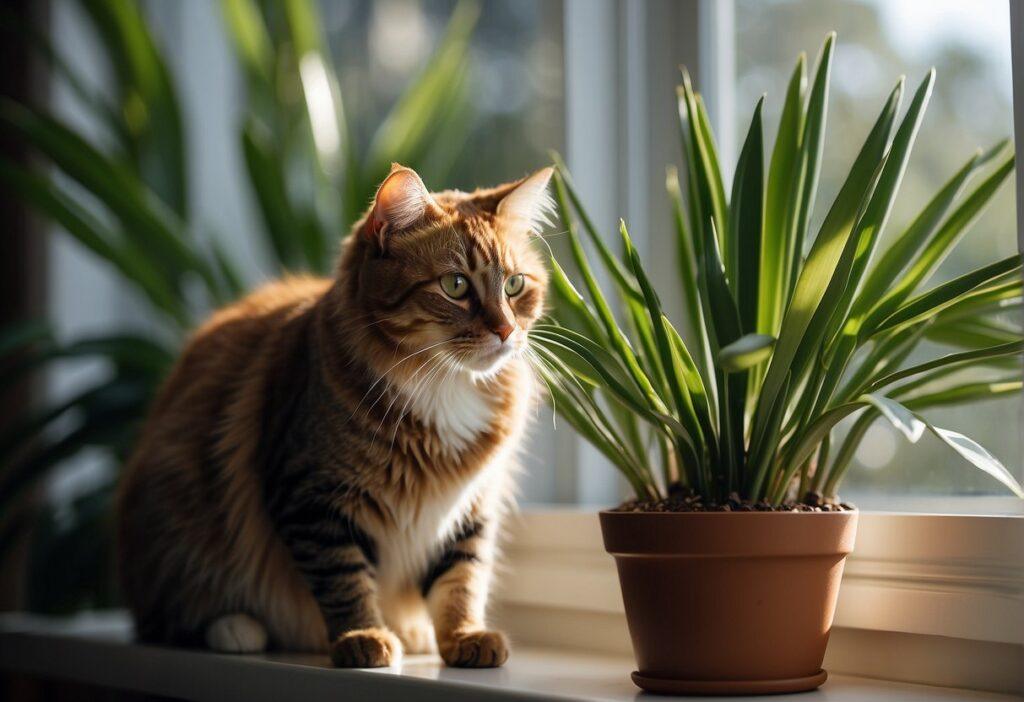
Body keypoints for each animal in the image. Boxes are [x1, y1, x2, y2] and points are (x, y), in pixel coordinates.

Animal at [115, 164, 552, 671]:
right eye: (456, 286)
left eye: (515, 285)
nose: (505, 331)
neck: (445, 385)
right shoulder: (314, 499)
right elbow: (345, 580)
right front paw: (364, 637)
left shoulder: (471, 506)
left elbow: (462, 580)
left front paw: (464, 637)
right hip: (174, 519)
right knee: (169, 618)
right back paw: (237, 629)